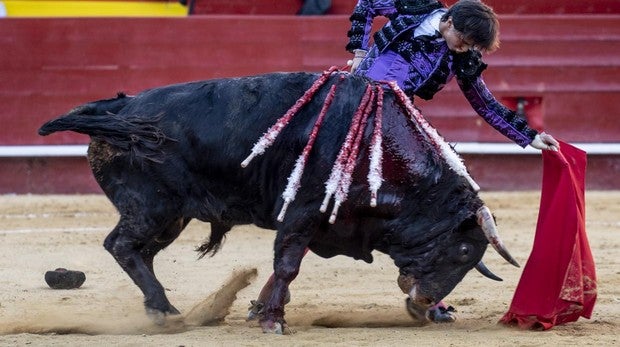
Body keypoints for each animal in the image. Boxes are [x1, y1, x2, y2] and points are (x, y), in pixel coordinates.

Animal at [37, 70, 520, 334]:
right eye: (463, 249)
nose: (426, 301)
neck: (378, 148)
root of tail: (118, 110)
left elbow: (283, 268)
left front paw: (263, 311)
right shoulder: (301, 212)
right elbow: (287, 265)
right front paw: (272, 321)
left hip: (171, 216)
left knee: (140, 253)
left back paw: (164, 309)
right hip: (151, 207)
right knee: (122, 246)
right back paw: (167, 311)